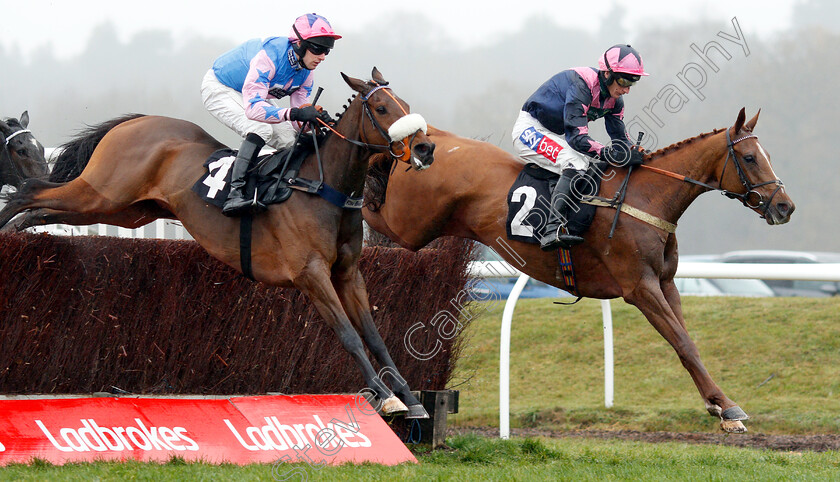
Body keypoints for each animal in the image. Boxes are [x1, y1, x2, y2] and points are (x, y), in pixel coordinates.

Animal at [4, 68, 440, 418]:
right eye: (381, 108)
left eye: (405, 104)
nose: (425, 147)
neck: (319, 185)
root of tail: (136, 122)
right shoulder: (311, 274)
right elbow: (348, 335)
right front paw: (385, 395)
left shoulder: (348, 273)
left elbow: (374, 335)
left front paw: (408, 396)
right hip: (103, 192)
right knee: (30, 189)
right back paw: (8, 225)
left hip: (123, 209)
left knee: (43, 210)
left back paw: (17, 228)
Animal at [362, 109, 796, 434]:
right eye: (751, 158)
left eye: (767, 154)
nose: (784, 206)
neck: (646, 199)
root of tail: (431, 137)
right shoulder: (640, 287)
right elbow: (683, 343)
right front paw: (729, 409)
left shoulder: (667, 283)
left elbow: (688, 343)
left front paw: (718, 405)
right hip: (410, 224)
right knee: (372, 206)